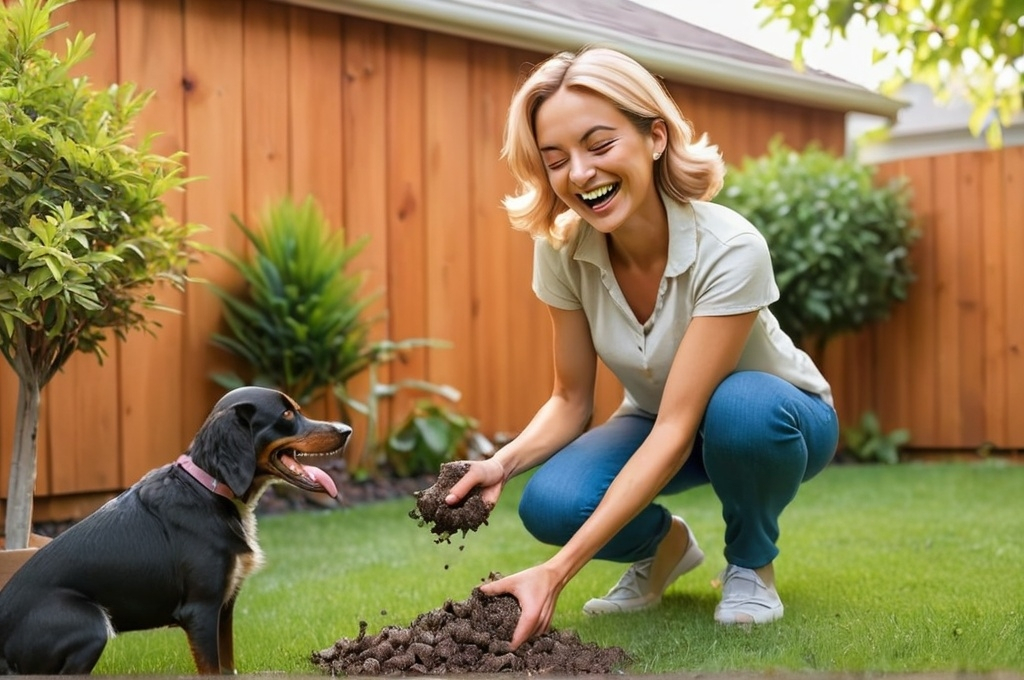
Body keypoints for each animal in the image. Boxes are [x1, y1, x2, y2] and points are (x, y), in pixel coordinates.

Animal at [0, 387, 352, 675]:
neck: (210, 488)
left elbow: (228, 668)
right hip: (92, 623)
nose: (346, 430)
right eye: (287, 415)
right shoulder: (201, 610)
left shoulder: (224, 607)